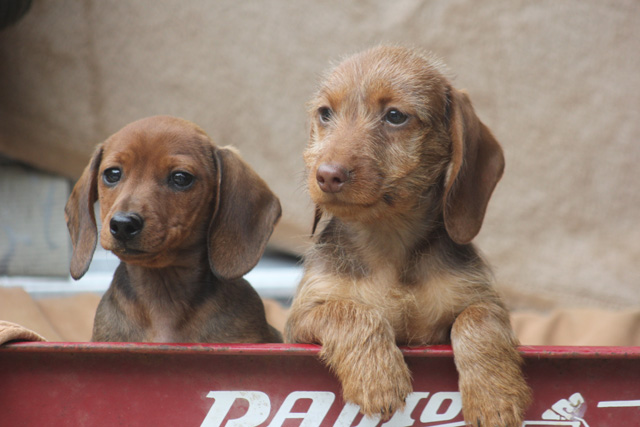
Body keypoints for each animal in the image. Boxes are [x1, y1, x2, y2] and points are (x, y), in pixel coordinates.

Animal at [284, 45, 528, 426]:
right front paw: (378, 377)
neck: (388, 241)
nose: (327, 175)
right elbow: (349, 311)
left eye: (395, 116)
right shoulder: (301, 318)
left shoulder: (484, 303)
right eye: (325, 113)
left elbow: (478, 321)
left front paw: (494, 398)